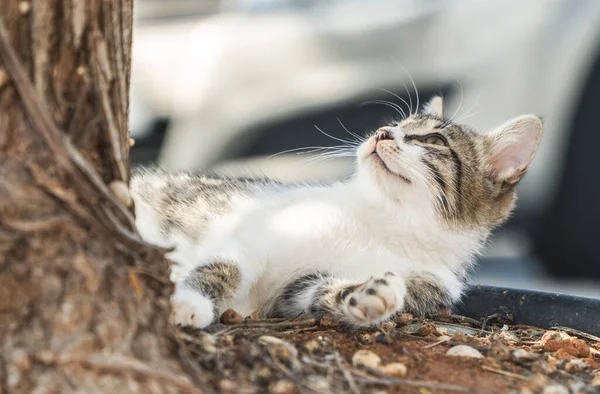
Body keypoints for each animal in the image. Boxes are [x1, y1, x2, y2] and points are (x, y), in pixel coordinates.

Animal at [131, 97, 544, 328]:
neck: (383, 224)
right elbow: (224, 265)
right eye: (396, 125)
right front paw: (191, 302)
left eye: (432, 139)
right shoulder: (256, 233)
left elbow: (313, 292)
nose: (381, 132)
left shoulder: (426, 281)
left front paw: (369, 295)